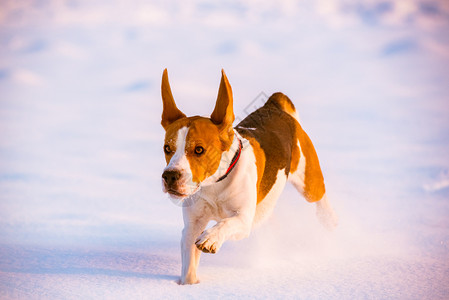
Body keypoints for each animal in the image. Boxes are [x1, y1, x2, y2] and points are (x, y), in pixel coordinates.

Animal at [159, 69, 338, 284]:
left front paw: (211, 237)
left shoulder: (243, 221)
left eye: (199, 150)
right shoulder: (192, 226)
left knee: (320, 197)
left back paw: (329, 219)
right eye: (167, 148)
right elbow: (189, 265)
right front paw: (189, 285)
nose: (170, 176)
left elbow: (226, 222)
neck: (215, 186)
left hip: (308, 180)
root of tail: (273, 106)